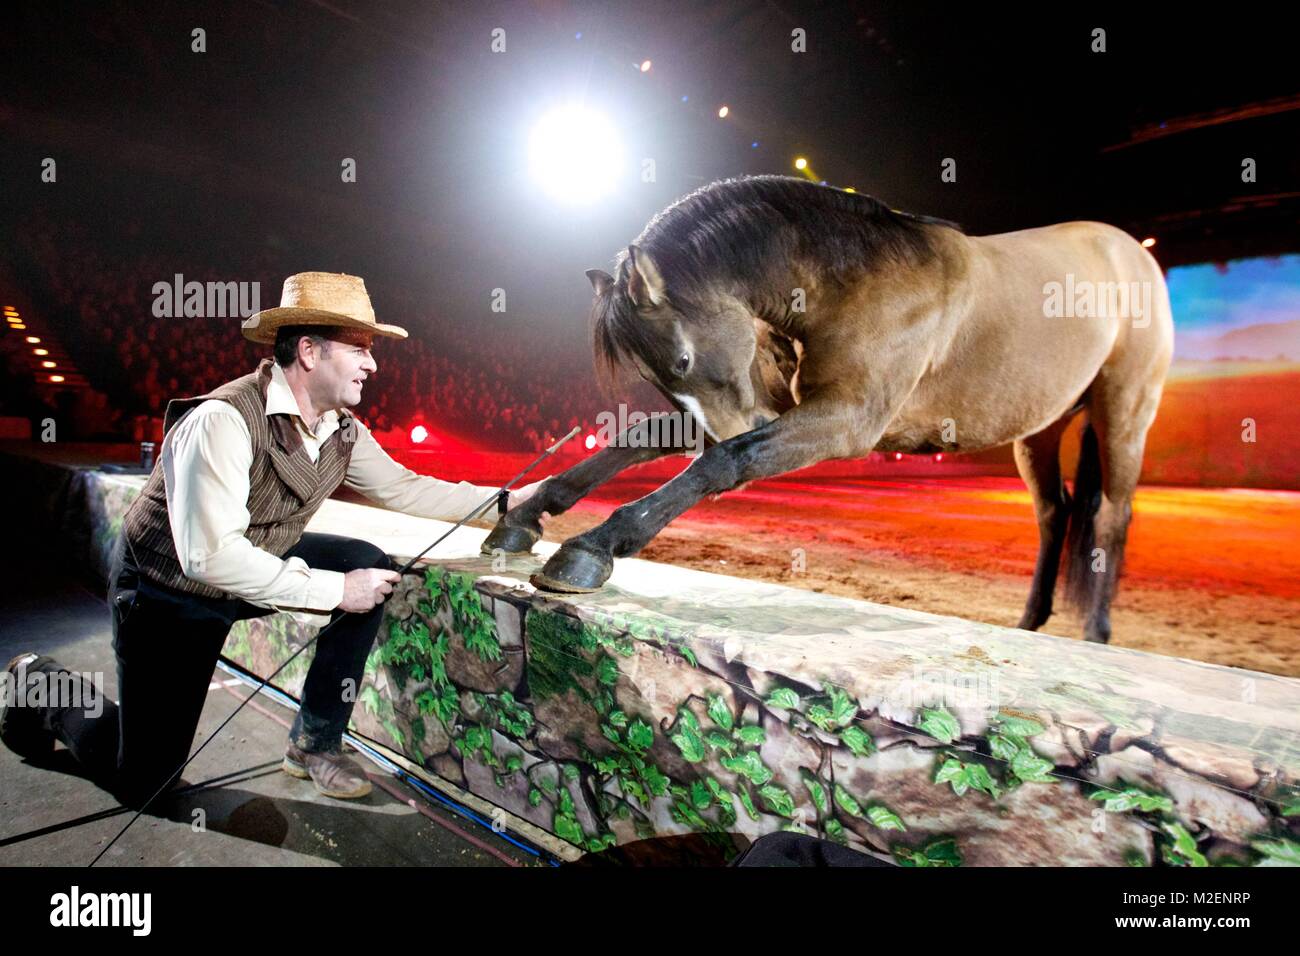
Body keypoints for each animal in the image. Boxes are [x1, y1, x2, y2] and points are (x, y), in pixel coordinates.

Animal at [483, 175, 1175, 647]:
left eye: (680, 359)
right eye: (656, 375)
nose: (723, 429)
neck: (859, 279)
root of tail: (1129, 251)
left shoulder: (844, 418)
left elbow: (725, 462)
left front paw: (592, 547)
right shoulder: (771, 407)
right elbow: (650, 438)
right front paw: (525, 516)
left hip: (1123, 415)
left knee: (1110, 517)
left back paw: (1097, 634)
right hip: (1038, 430)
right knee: (1055, 514)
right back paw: (1030, 623)